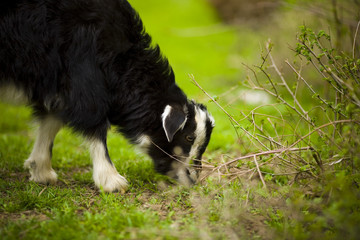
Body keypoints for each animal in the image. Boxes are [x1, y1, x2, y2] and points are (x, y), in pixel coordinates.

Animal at [0, 0, 214, 191]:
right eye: (188, 137)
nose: (193, 178)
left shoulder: (59, 87)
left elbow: (51, 122)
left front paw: (41, 172)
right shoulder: (85, 85)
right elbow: (95, 126)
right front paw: (112, 181)